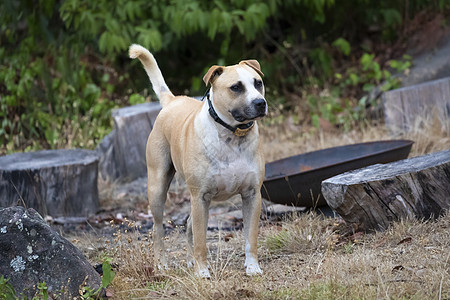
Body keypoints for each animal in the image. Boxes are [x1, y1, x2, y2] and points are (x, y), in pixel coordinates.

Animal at [128, 44, 266, 276]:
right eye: (236, 87)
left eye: (258, 83)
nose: (260, 103)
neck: (231, 135)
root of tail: (173, 100)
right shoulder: (200, 196)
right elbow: (201, 240)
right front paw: (202, 273)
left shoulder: (252, 195)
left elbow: (250, 238)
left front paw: (252, 267)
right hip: (158, 187)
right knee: (158, 227)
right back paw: (161, 263)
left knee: (189, 224)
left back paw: (190, 260)